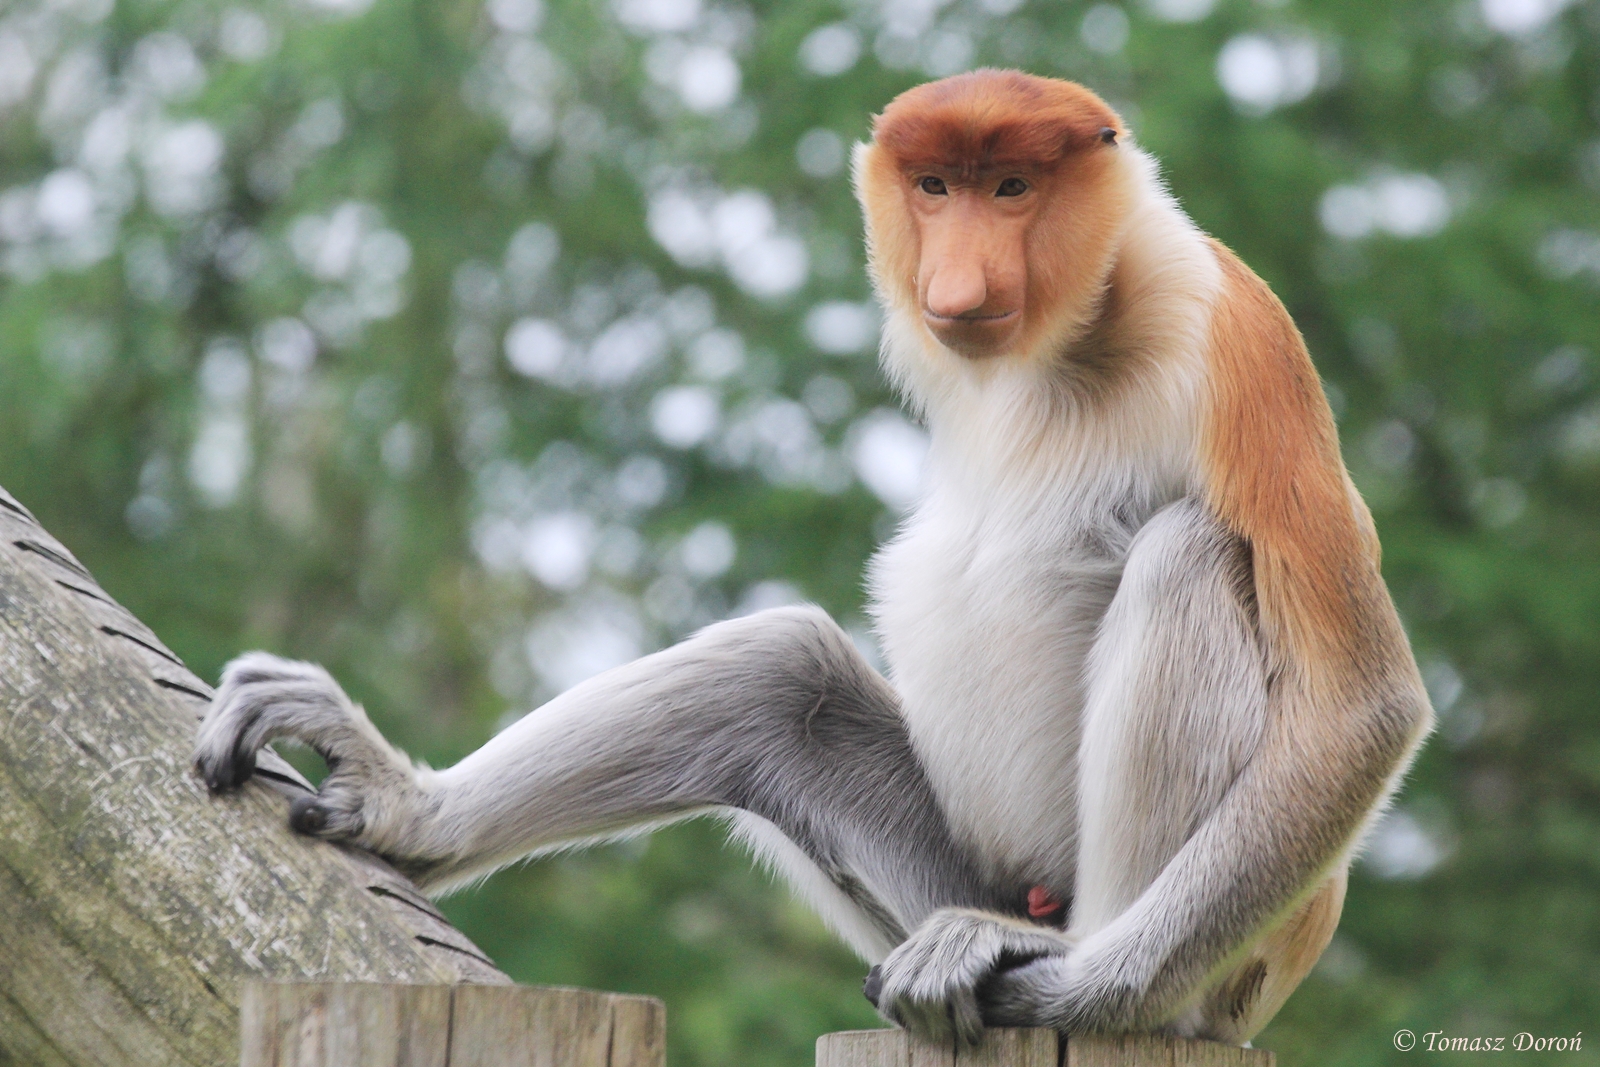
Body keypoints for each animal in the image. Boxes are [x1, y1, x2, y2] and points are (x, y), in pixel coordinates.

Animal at [194, 70, 1431, 1047]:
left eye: (1010, 188)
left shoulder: (1237, 335)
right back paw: (411, 811)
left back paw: (1079, 971)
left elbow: (1364, 702)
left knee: (1187, 555)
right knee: (777, 674)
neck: (1065, 340)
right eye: (934, 187)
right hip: (933, 878)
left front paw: (1091, 984)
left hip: (1227, 953)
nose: (956, 278)